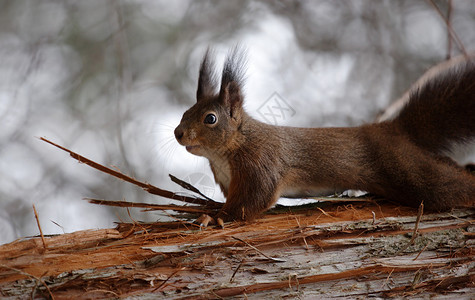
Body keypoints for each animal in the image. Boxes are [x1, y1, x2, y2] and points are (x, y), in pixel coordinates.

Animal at [175, 47, 475, 224]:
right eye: (186, 111)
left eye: (210, 119)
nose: (178, 133)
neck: (226, 152)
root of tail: (394, 129)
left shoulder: (261, 164)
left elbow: (253, 201)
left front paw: (217, 216)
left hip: (406, 169)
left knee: (447, 186)